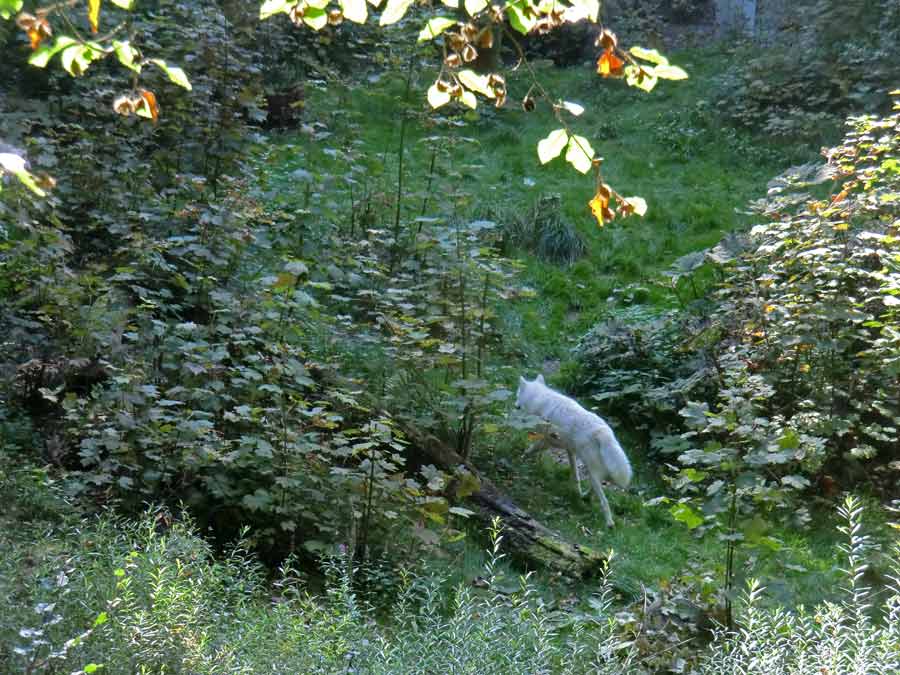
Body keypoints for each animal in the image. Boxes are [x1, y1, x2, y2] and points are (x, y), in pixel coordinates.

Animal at [512, 374, 632, 528]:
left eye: (517, 395)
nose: (515, 405)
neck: (539, 398)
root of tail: (603, 431)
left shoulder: (547, 441)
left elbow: (530, 450)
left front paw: (520, 457)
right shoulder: (570, 450)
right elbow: (575, 473)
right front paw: (577, 489)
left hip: (593, 471)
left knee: (604, 500)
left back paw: (609, 523)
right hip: (601, 471)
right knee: (599, 485)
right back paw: (584, 496)